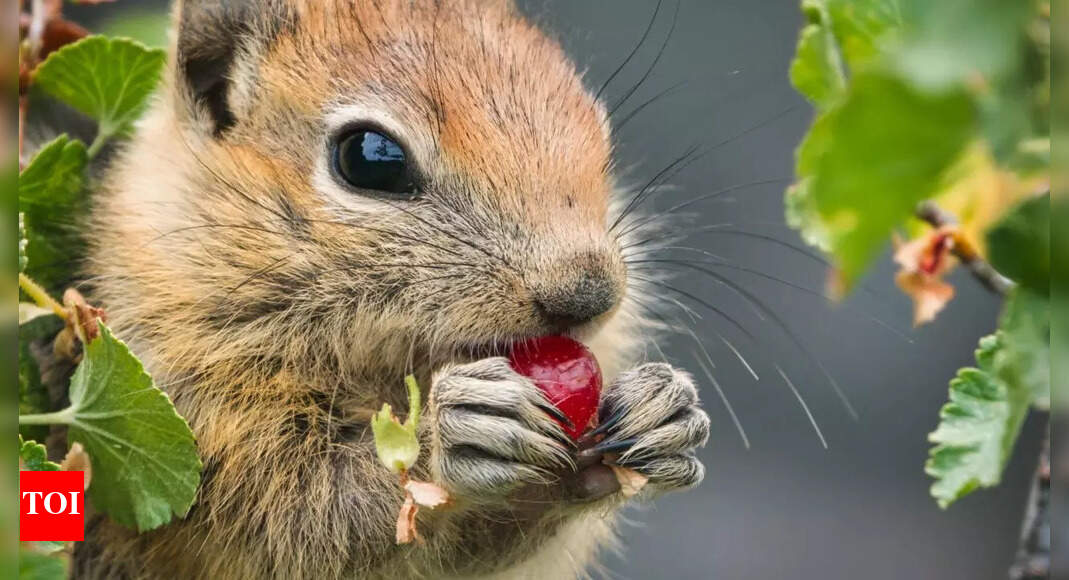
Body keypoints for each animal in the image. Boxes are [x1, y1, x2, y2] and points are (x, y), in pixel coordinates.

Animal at [72, 1, 710, 578]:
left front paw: (664, 408)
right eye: (370, 157)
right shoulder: (183, 404)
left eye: (601, 140)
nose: (589, 295)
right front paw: (452, 434)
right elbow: (295, 514)